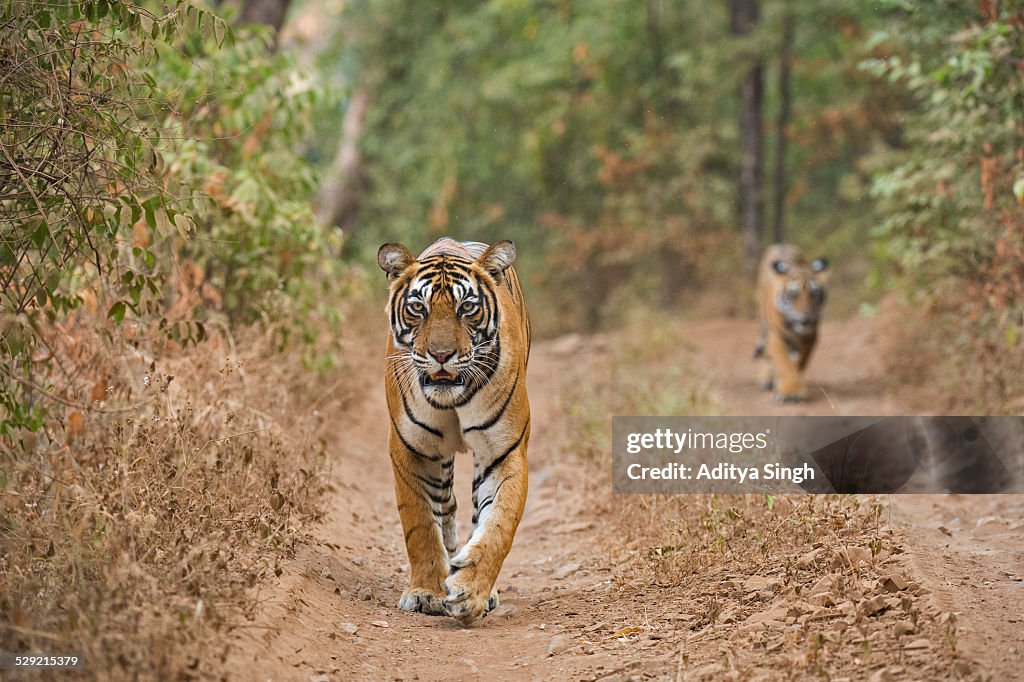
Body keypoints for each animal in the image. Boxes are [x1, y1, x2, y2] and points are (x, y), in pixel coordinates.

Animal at [378, 236, 536, 622]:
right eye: (418, 308)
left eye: (466, 308)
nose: (441, 355)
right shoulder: (411, 450)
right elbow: (420, 524)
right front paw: (425, 593)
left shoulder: (504, 452)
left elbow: (498, 524)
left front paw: (470, 591)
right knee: (445, 502)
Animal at [753, 242, 831, 401]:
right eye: (793, 294)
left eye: (814, 294)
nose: (806, 315)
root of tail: (781, 244)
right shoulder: (777, 337)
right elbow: (785, 365)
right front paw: (790, 391)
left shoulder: (810, 336)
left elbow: (800, 362)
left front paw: (793, 387)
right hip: (763, 324)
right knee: (766, 354)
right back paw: (767, 378)